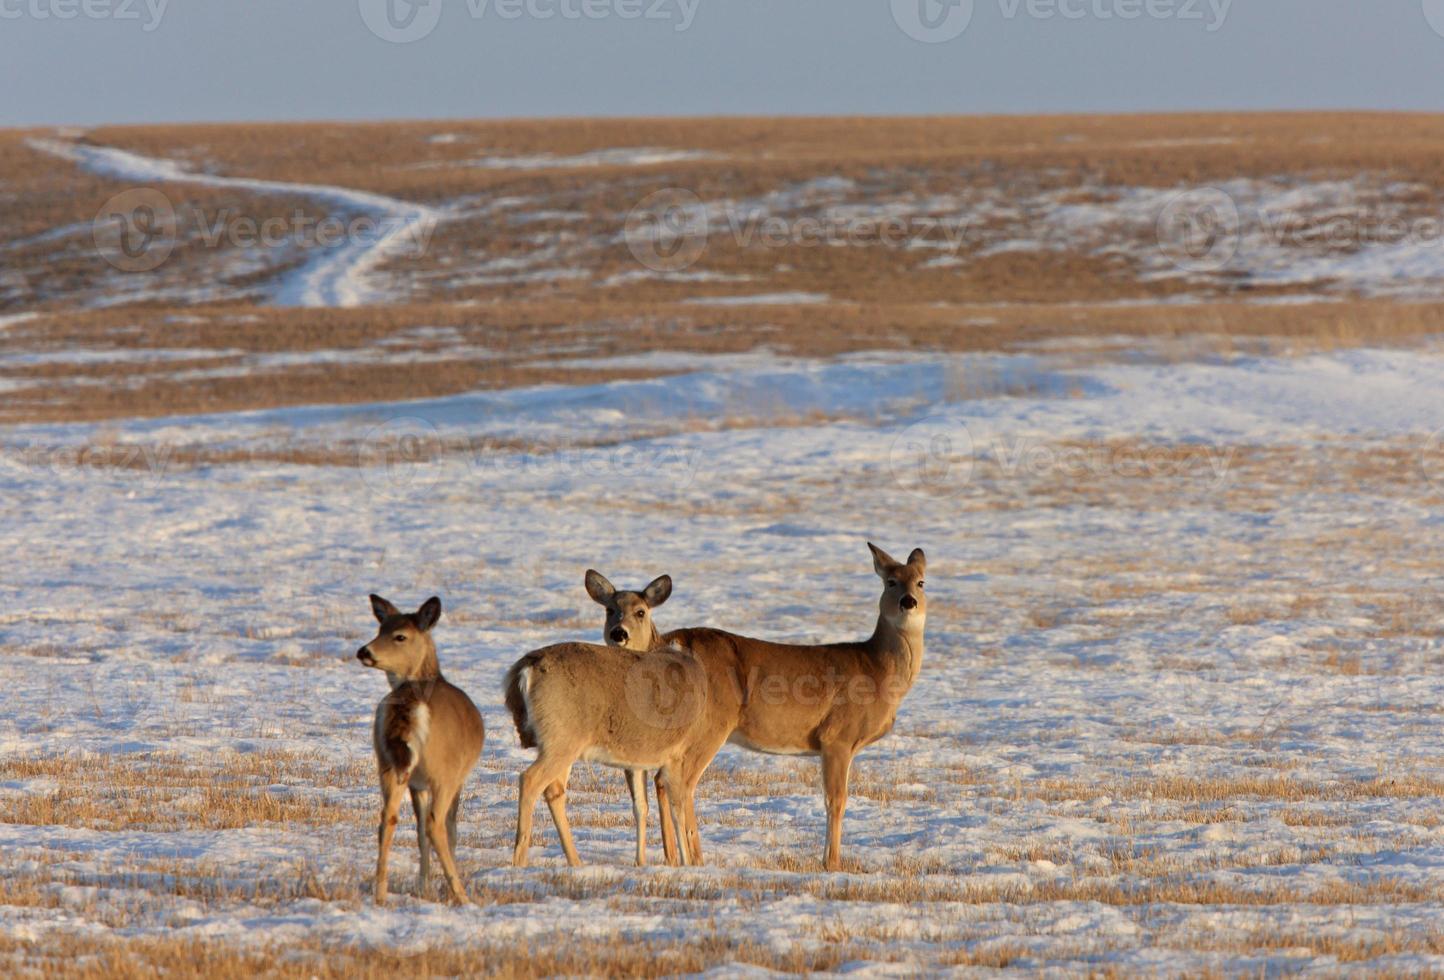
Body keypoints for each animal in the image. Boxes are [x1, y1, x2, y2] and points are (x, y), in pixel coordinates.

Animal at [355, 591, 485, 906]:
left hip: (387, 762)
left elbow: (417, 830)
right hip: (443, 770)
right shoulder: (457, 777)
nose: (364, 651)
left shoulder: (416, 782)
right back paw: (461, 894)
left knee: (387, 818)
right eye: (380, 629)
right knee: (436, 824)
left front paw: (423, 886)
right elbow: (449, 827)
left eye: (398, 635)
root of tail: (409, 702)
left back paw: (380, 894)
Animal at [505, 635, 733, 865]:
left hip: (562, 743)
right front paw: (687, 864)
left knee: (554, 790)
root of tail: (526, 669)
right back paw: (520, 862)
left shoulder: (637, 761)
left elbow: (641, 806)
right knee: (530, 779)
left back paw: (575, 862)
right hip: (561, 739)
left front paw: (640, 862)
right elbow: (678, 808)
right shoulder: (681, 756)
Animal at [583, 545, 924, 871]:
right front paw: (832, 863)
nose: (909, 602)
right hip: (709, 726)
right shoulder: (837, 736)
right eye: (890, 582)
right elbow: (835, 800)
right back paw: (694, 859)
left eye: (921, 581)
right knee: (678, 781)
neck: (877, 669)